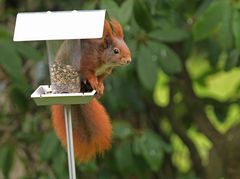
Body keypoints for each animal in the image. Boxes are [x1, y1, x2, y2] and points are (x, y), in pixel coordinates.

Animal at [50, 19, 132, 162]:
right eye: (115, 51)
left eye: (126, 46)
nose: (128, 60)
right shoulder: (87, 63)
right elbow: (89, 74)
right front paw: (94, 83)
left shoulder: (105, 72)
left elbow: (100, 79)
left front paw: (100, 87)